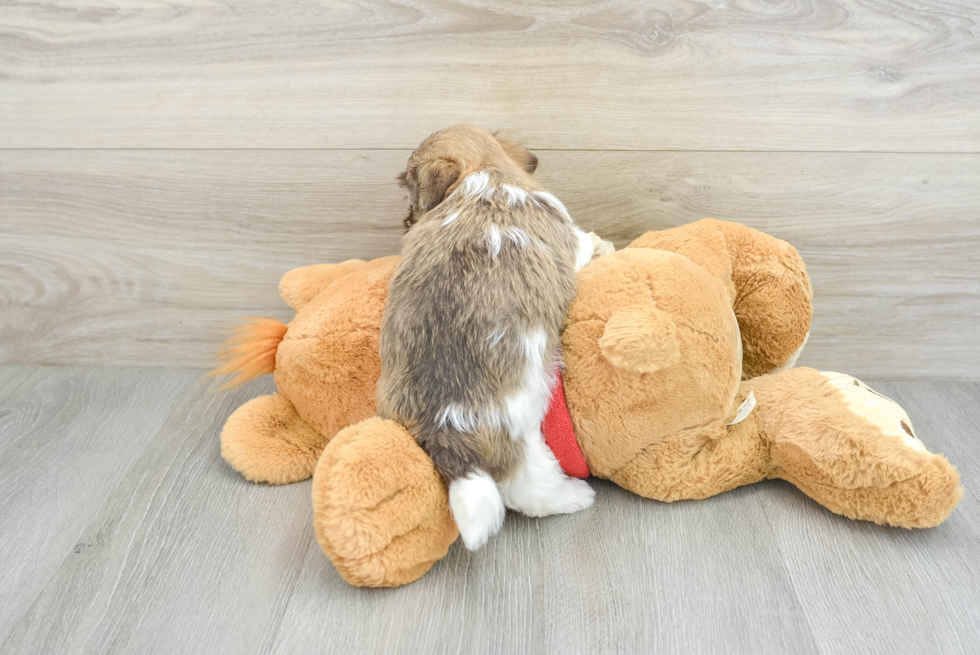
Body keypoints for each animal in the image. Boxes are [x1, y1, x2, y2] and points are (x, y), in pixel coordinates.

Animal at [378, 125, 608, 552]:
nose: (405, 222)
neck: (486, 173)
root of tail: (444, 422)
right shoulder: (567, 238)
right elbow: (583, 242)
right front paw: (603, 244)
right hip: (523, 436)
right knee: (528, 489)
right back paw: (574, 497)